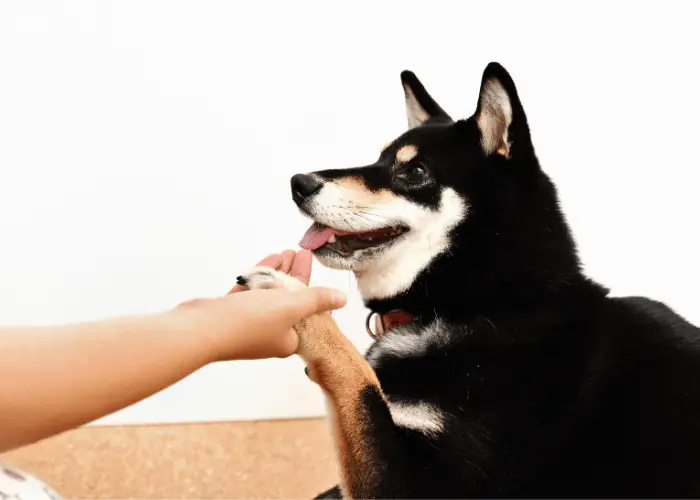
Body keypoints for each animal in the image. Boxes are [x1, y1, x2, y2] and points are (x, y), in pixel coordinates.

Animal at [238, 64, 700, 498]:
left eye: (415, 170)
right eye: (379, 160)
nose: (299, 183)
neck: (484, 301)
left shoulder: (421, 484)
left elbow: (358, 379)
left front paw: (295, 301)